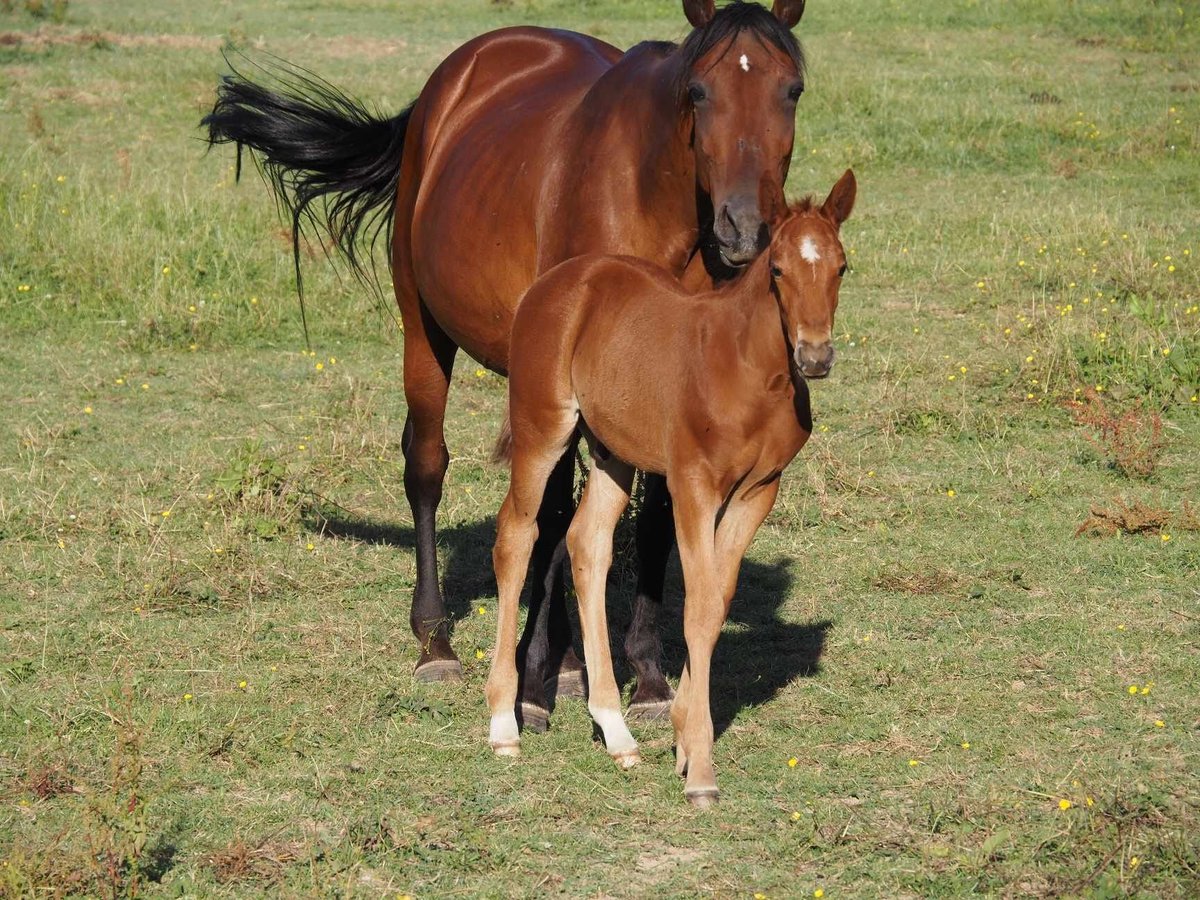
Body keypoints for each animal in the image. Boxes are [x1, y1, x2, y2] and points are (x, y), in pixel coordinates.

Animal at [204, 0, 806, 724]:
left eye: (792, 90)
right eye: (698, 91)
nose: (744, 229)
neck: (650, 205)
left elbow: (654, 521)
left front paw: (648, 679)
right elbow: (555, 517)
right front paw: (541, 679)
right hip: (425, 330)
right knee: (429, 467)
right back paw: (436, 642)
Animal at [484, 172, 854, 806]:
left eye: (841, 267)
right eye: (778, 269)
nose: (815, 356)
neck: (748, 371)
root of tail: (552, 283)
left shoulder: (759, 491)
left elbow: (718, 601)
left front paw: (681, 737)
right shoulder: (692, 485)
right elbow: (699, 607)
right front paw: (700, 768)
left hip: (612, 452)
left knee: (587, 544)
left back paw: (616, 732)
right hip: (543, 428)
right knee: (515, 537)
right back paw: (505, 723)